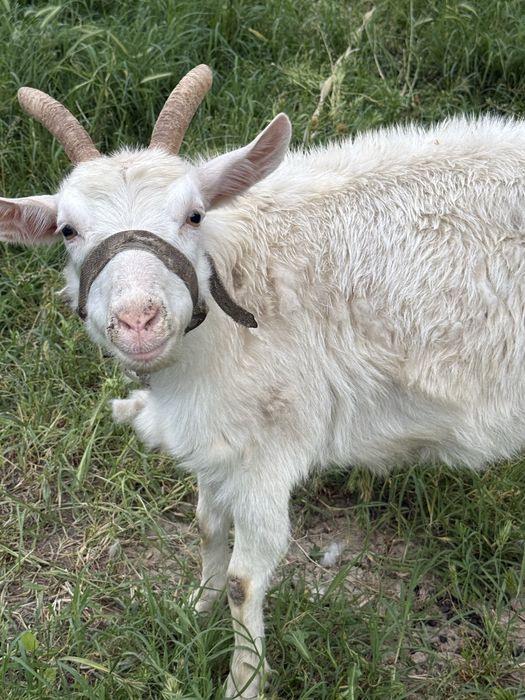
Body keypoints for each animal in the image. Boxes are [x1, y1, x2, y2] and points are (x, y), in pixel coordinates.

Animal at [2, 64, 525, 697]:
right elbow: (206, 525)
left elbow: (245, 580)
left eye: (194, 214)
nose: (138, 319)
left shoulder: (268, 449)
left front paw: (243, 680)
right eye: (67, 230)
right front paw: (194, 609)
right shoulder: (215, 441)